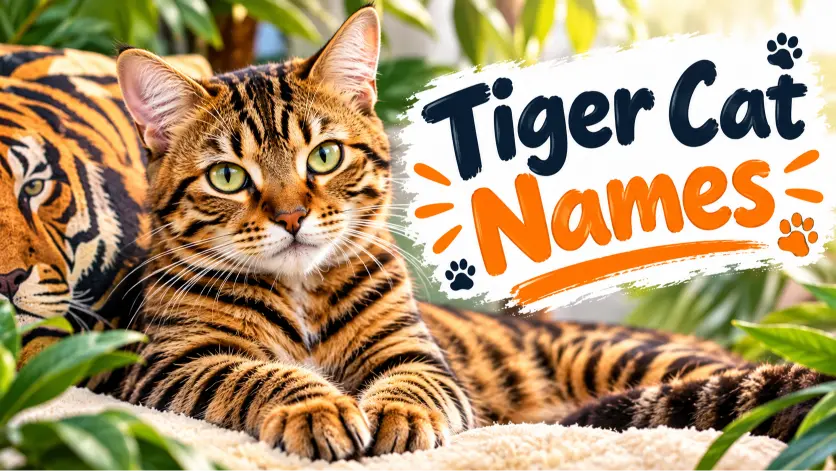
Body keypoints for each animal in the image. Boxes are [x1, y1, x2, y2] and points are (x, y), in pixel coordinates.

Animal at [109, 6, 832, 462]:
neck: (299, 293)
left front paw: (398, 414)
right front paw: (317, 406)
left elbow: (412, 383)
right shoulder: (170, 363)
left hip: (633, 360)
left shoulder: (416, 352)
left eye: (325, 156)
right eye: (228, 176)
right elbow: (255, 373)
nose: (290, 217)